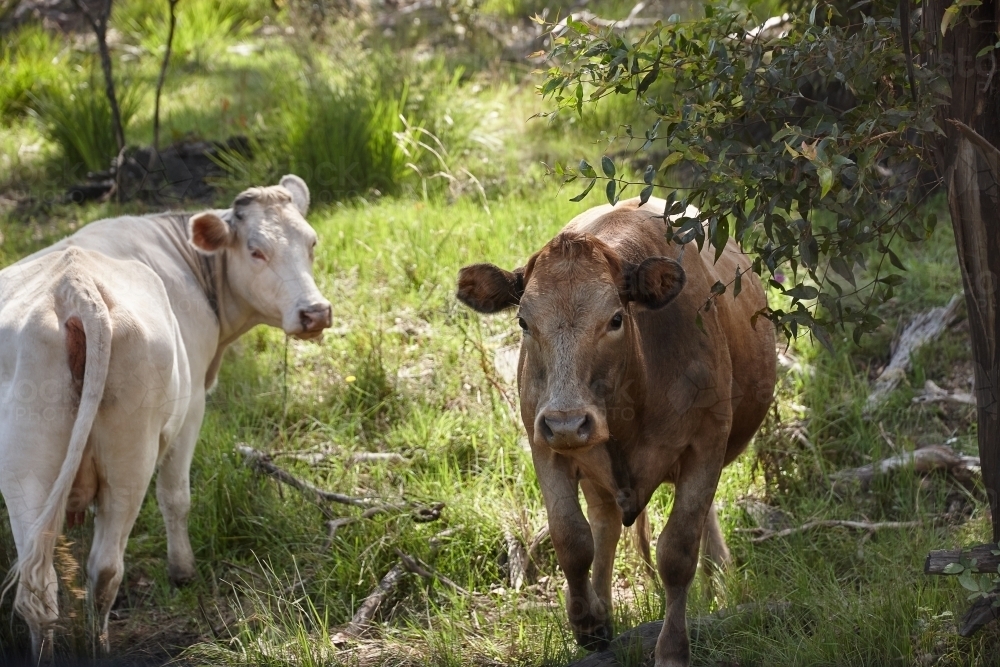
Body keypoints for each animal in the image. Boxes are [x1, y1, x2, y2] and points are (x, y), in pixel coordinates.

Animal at [0, 175, 331, 663]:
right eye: (256, 250)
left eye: (311, 242)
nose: (316, 312)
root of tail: (73, 286)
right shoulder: (192, 407)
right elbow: (176, 496)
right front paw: (182, 571)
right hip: (129, 456)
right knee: (105, 569)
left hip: (28, 468)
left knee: (39, 588)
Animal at [456, 197, 776, 667]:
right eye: (523, 323)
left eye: (615, 319)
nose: (567, 422)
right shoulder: (544, 444)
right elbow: (572, 539)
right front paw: (588, 624)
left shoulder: (706, 442)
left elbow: (678, 551)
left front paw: (672, 649)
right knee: (604, 523)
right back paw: (602, 608)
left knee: (696, 522)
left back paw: (719, 575)